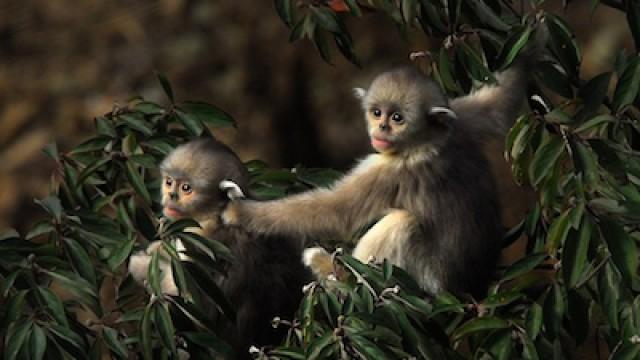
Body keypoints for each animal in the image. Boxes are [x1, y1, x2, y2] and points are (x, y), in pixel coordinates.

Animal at [126, 137, 308, 358]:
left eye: (186, 188)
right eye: (169, 182)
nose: (171, 196)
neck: (217, 215)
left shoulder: (199, 243)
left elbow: (201, 313)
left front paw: (142, 263)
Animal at [222, 53, 536, 296]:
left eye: (397, 118)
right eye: (376, 113)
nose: (381, 129)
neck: (428, 140)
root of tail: (468, 291)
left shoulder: (391, 171)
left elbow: (337, 213)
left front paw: (240, 212)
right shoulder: (462, 119)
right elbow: (500, 101)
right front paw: (532, 37)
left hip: (425, 281)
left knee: (402, 223)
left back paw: (337, 274)